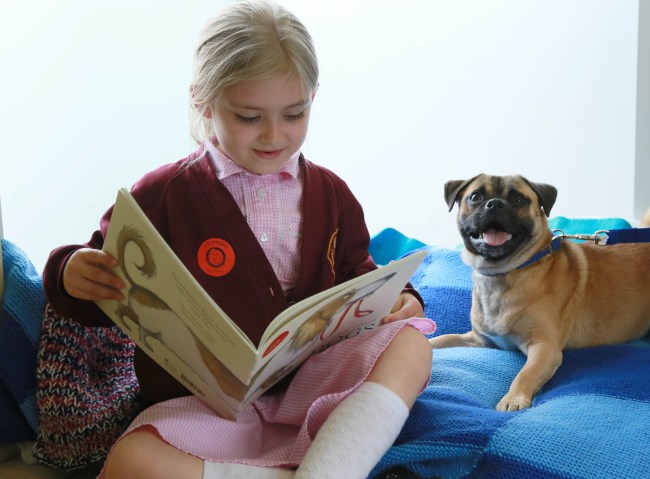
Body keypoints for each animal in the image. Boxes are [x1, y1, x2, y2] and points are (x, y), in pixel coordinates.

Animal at [428, 175, 648, 412]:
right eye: (476, 196)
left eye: (518, 199)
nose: (494, 204)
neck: (503, 275)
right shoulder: (479, 340)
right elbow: (443, 339)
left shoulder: (544, 347)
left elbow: (526, 373)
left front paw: (513, 398)